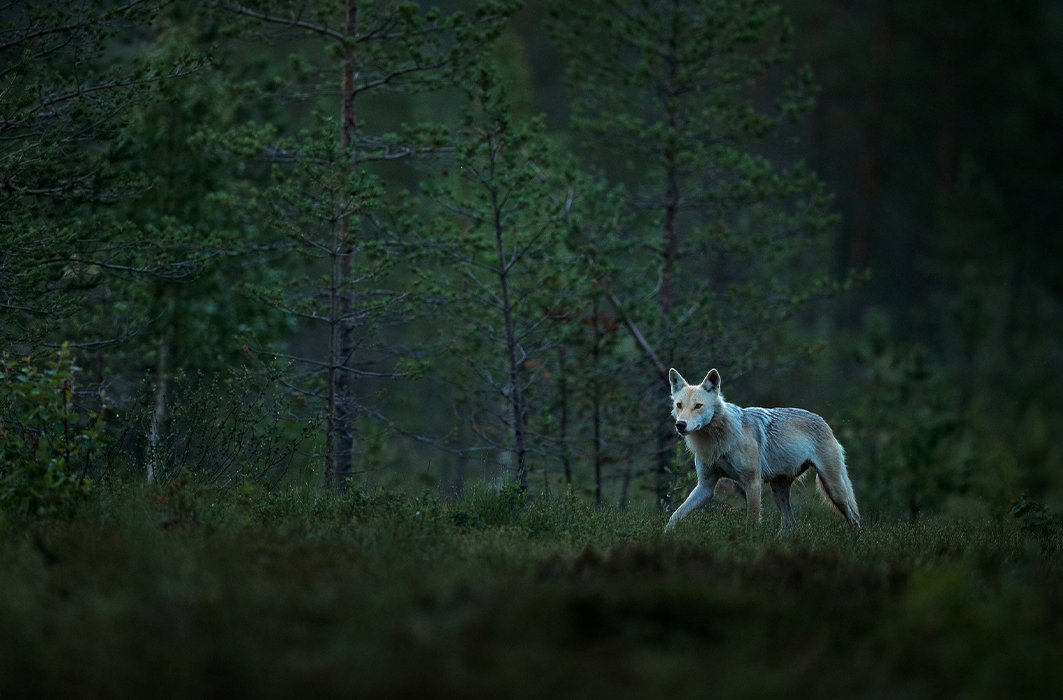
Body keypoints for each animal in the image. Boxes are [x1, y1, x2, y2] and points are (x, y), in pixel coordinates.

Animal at [664, 367, 860, 532]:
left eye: (698, 406)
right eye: (679, 405)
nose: (680, 425)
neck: (718, 440)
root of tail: (824, 422)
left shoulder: (752, 482)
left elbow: (752, 520)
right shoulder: (705, 486)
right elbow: (676, 515)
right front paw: (666, 534)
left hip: (833, 489)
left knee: (854, 519)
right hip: (779, 492)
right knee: (790, 524)